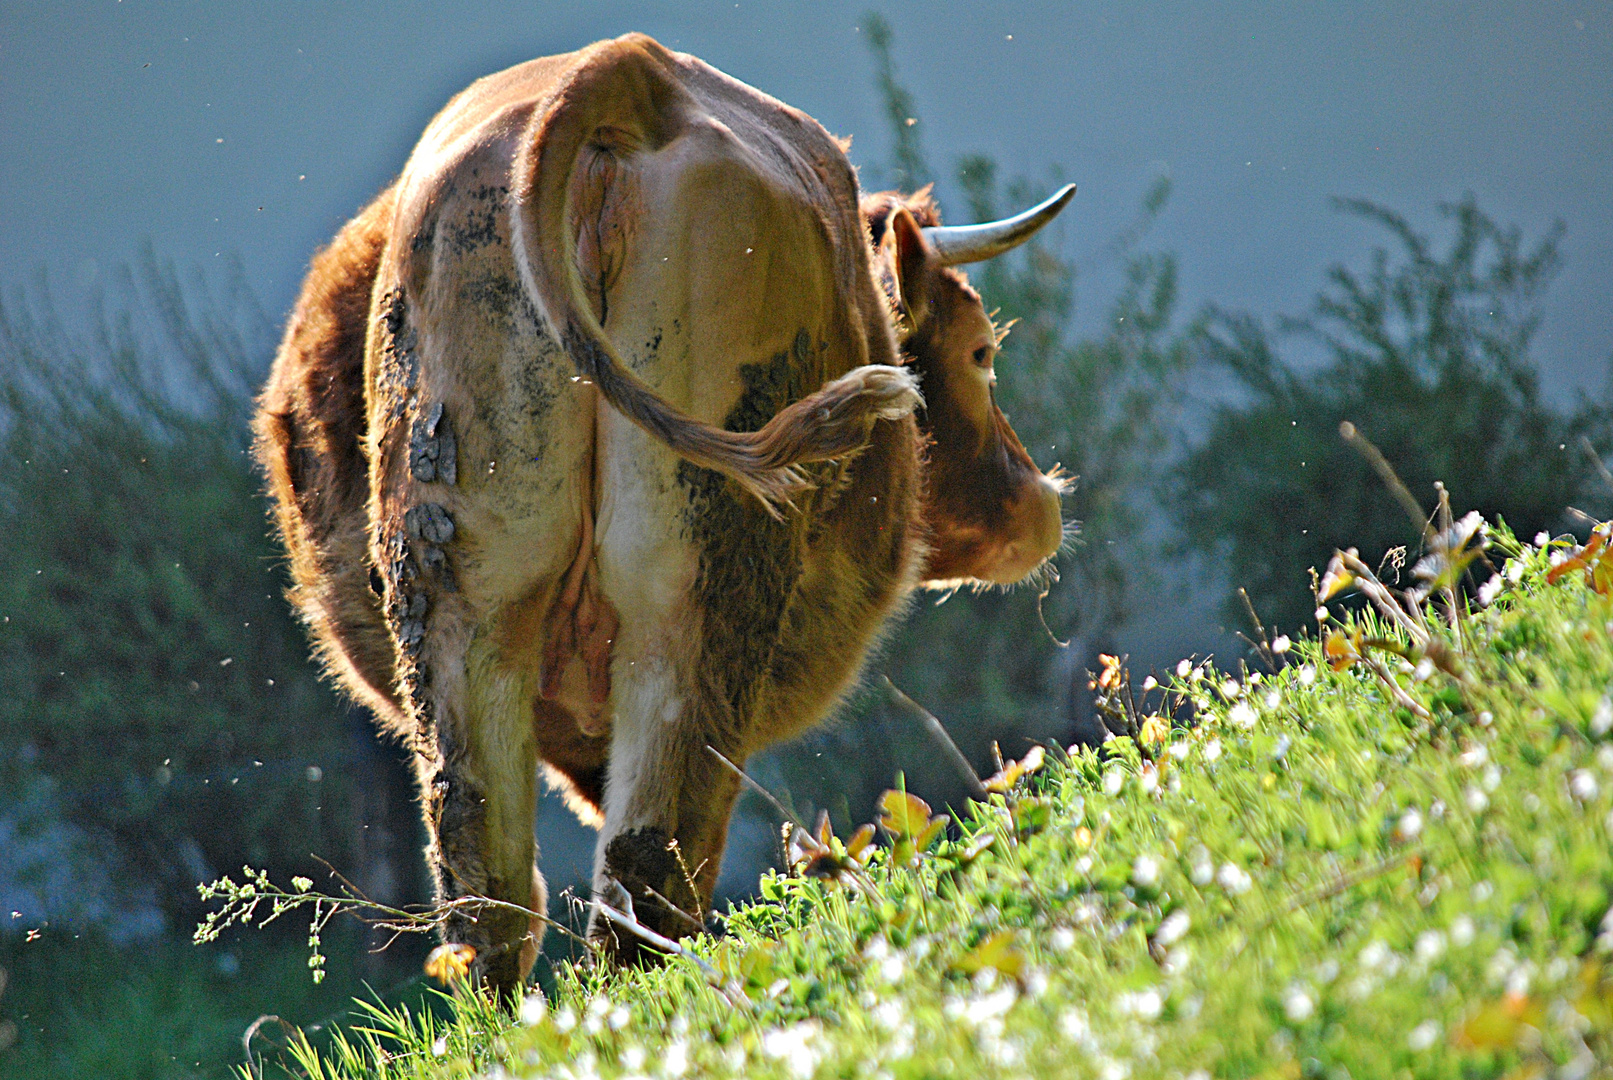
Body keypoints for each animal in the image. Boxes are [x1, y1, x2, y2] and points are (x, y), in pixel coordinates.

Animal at [254, 33, 1071, 999]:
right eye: (981, 352)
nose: (1039, 501)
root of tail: (627, 75)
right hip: (697, 595)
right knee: (649, 869)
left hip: (462, 602)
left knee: (488, 886)